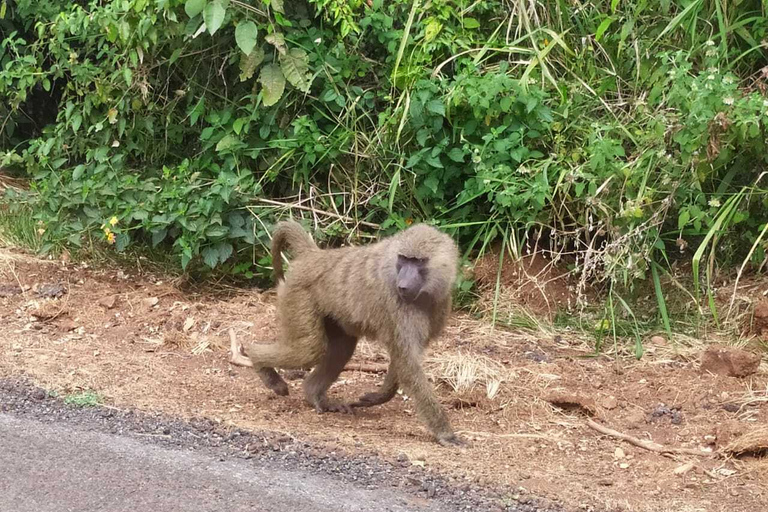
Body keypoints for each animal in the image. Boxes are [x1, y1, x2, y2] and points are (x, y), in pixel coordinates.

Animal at [228, 218, 462, 446]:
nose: (402, 286)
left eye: (418, 261)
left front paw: (378, 396)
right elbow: (408, 363)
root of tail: (313, 255)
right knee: (308, 350)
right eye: (403, 259)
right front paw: (445, 434)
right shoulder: (395, 306)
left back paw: (314, 395)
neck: (424, 293)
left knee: (340, 348)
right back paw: (262, 366)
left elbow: (404, 360)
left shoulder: (439, 305)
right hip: (297, 295)